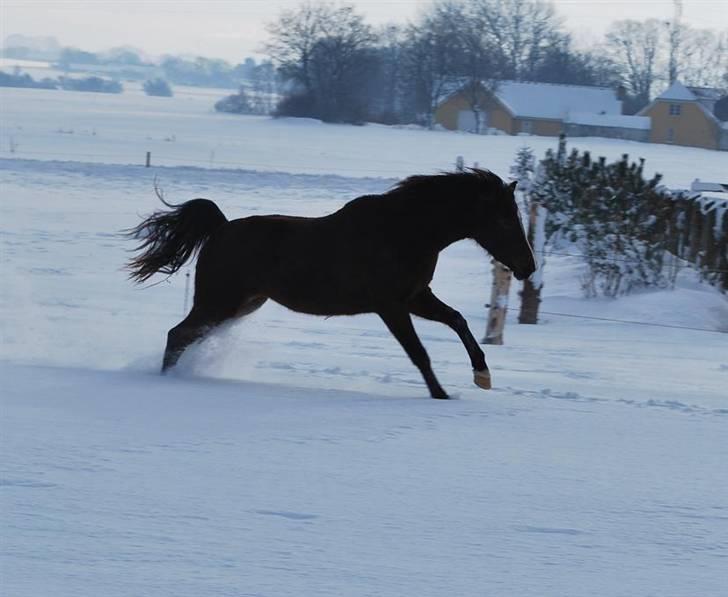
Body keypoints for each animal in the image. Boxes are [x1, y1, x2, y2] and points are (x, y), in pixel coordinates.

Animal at [126, 169, 536, 400]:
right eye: (503, 220)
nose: (528, 267)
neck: (406, 231)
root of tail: (220, 228)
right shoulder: (390, 305)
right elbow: (419, 352)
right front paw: (441, 395)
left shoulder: (416, 297)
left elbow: (457, 320)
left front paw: (482, 376)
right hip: (219, 302)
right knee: (178, 334)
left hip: (241, 304)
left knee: (187, 336)